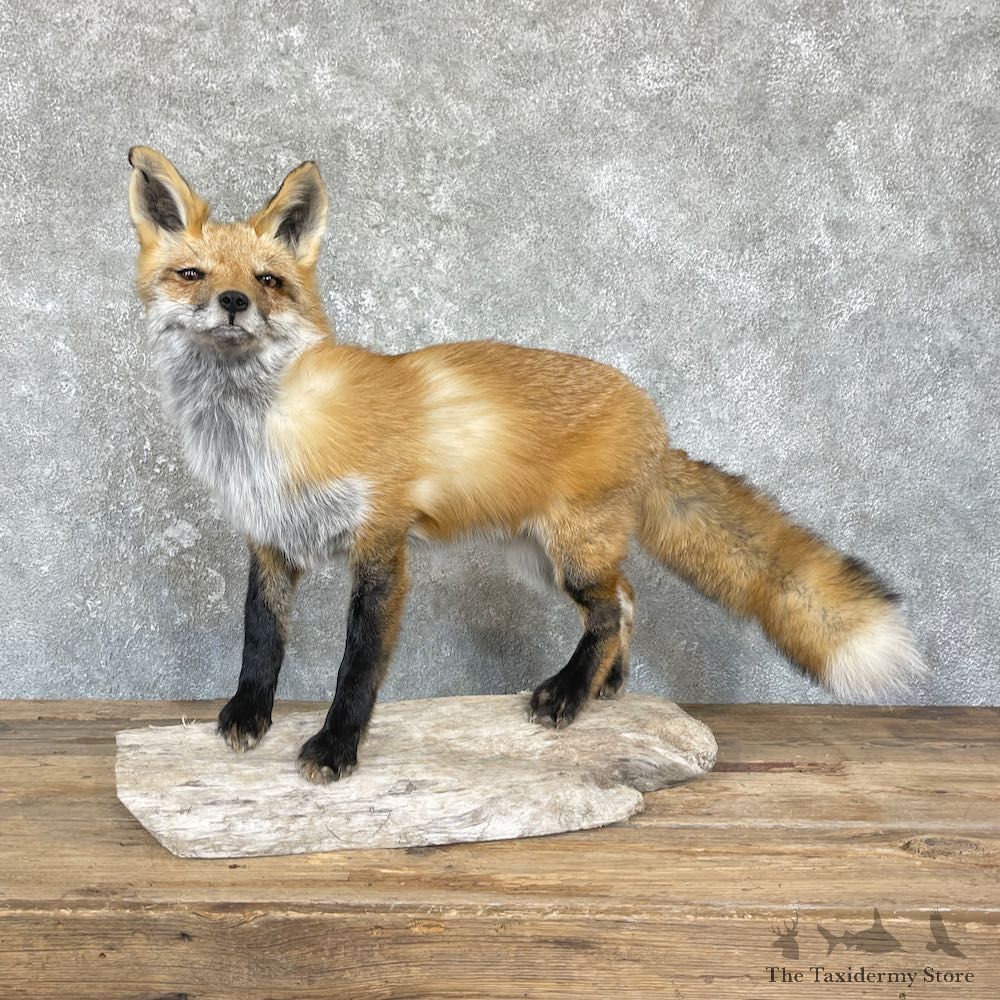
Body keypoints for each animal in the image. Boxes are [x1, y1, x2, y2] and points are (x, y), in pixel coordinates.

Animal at [126, 146, 925, 783]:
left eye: (268, 281)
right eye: (192, 273)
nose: (233, 301)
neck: (265, 431)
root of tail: (656, 425)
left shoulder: (381, 545)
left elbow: (358, 666)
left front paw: (336, 748)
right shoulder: (269, 539)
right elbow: (260, 637)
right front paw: (248, 715)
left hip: (568, 550)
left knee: (606, 609)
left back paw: (566, 696)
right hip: (538, 555)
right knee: (625, 599)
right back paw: (603, 687)